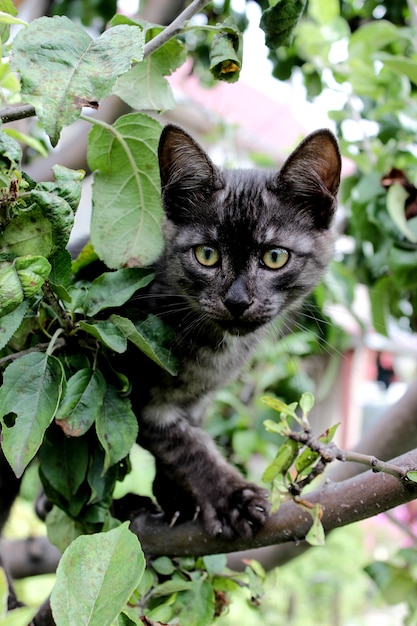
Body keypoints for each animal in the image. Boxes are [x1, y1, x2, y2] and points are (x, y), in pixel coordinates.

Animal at [119, 125, 338, 536]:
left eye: (275, 257)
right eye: (207, 254)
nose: (237, 301)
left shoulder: (198, 402)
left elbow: (180, 443)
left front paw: (177, 501)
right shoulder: (136, 394)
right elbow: (185, 446)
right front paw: (234, 499)